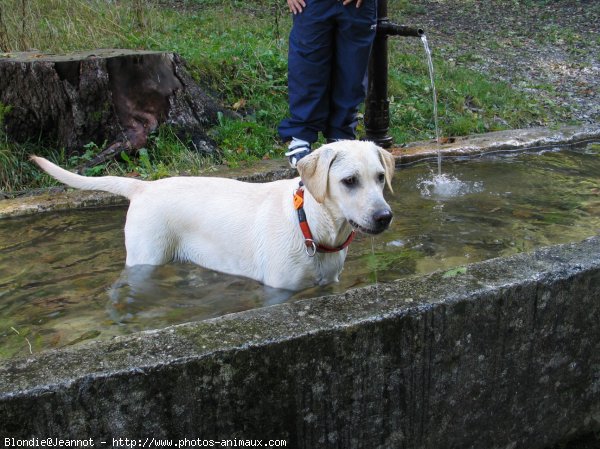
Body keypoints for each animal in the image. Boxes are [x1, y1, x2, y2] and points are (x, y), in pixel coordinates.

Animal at [32, 142, 394, 292]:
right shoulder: (279, 290)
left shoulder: (329, 283)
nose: (384, 216)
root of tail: (142, 187)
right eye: (349, 181)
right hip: (144, 257)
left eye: (380, 177)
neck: (310, 224)